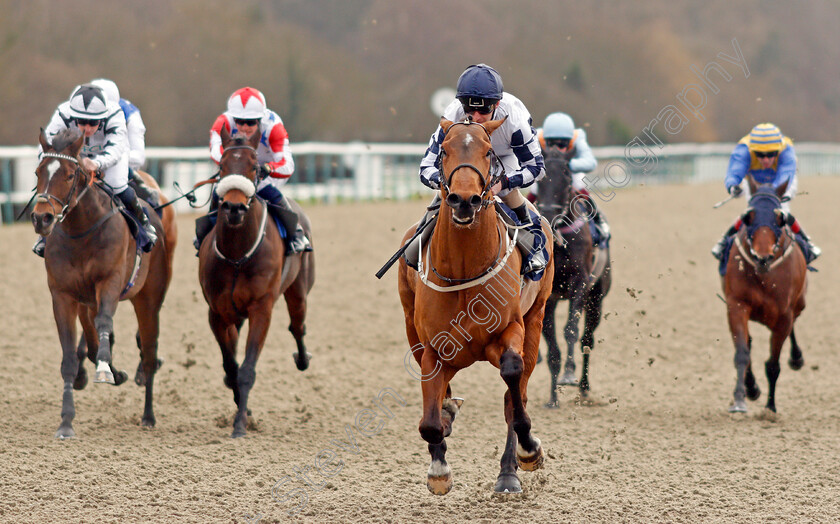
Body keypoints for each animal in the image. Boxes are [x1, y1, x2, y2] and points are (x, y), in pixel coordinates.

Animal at [32, 128, 176, 438]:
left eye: (70, 175)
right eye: (38, 171)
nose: (42, 218)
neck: (81, 231)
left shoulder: (109, 282)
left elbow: (104, 324)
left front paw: (106, 370)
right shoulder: (63, 295)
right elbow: (70, 356)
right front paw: (66, 422)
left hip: (148, 299)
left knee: (149, 354)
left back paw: (148, 415)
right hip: (88, 301)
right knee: (94, 337)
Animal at [199, 127, 316, 438]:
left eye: (254, 166)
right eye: (221, 167)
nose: (234, 207)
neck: (237, 255)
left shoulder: (261, 308)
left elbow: (247, 370)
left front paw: (240, 424)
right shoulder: (216, 312)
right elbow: (231, 367)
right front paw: (243, 411)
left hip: (298, 291)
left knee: (297, 326)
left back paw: (302, 359)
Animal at [398, 118, 552, 496]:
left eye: (487, 151)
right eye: (444, 150)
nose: (464, 199)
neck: (464, 269)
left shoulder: (510, 330)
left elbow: (512, 384)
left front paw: (530, 450)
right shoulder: (433, 347)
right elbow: (429, 421)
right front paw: (439, 468)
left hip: (537, 317)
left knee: (515, 394)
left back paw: (509, 472)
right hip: (413, 328)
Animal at [540, 149, 612, 404]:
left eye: (565, 172)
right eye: (540, 176)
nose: (548, 213)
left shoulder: (579, 284)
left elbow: (570, 330)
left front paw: (569, 374)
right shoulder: (547, 297)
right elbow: (552, 349)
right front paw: (552, 398)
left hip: (596, 299)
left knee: (587, 342)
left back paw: (583, 387)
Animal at [720, 180, 808, 414]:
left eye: (779, 219)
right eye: (748, 217)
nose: (762, 257)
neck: (764, 276)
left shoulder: (784, 316)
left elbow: (773, 365)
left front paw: (770, 408)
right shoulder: (736, 305)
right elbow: (742, 352)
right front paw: (741, 398)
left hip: (800, 303)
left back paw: (796, 358)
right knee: (748, 344)